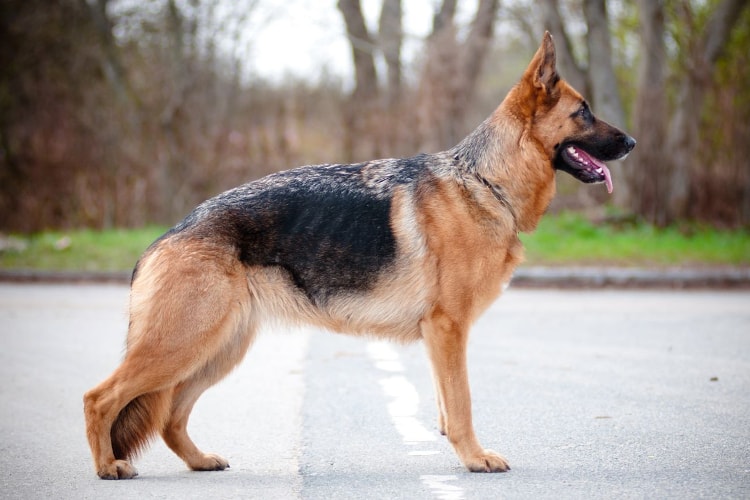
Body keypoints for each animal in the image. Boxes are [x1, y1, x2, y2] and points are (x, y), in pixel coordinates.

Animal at [83, 33, 636, 478]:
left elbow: (446, 406)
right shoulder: (448, 329)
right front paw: (475, 458)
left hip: (216, 350)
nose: (631, 142)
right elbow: (461, 404)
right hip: (181, 345)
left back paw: (198, 461)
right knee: (100, 398)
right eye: (584, 112)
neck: (485, 181)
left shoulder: (442, 338)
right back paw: (108, 467)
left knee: (170, 416)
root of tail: (167, 236)